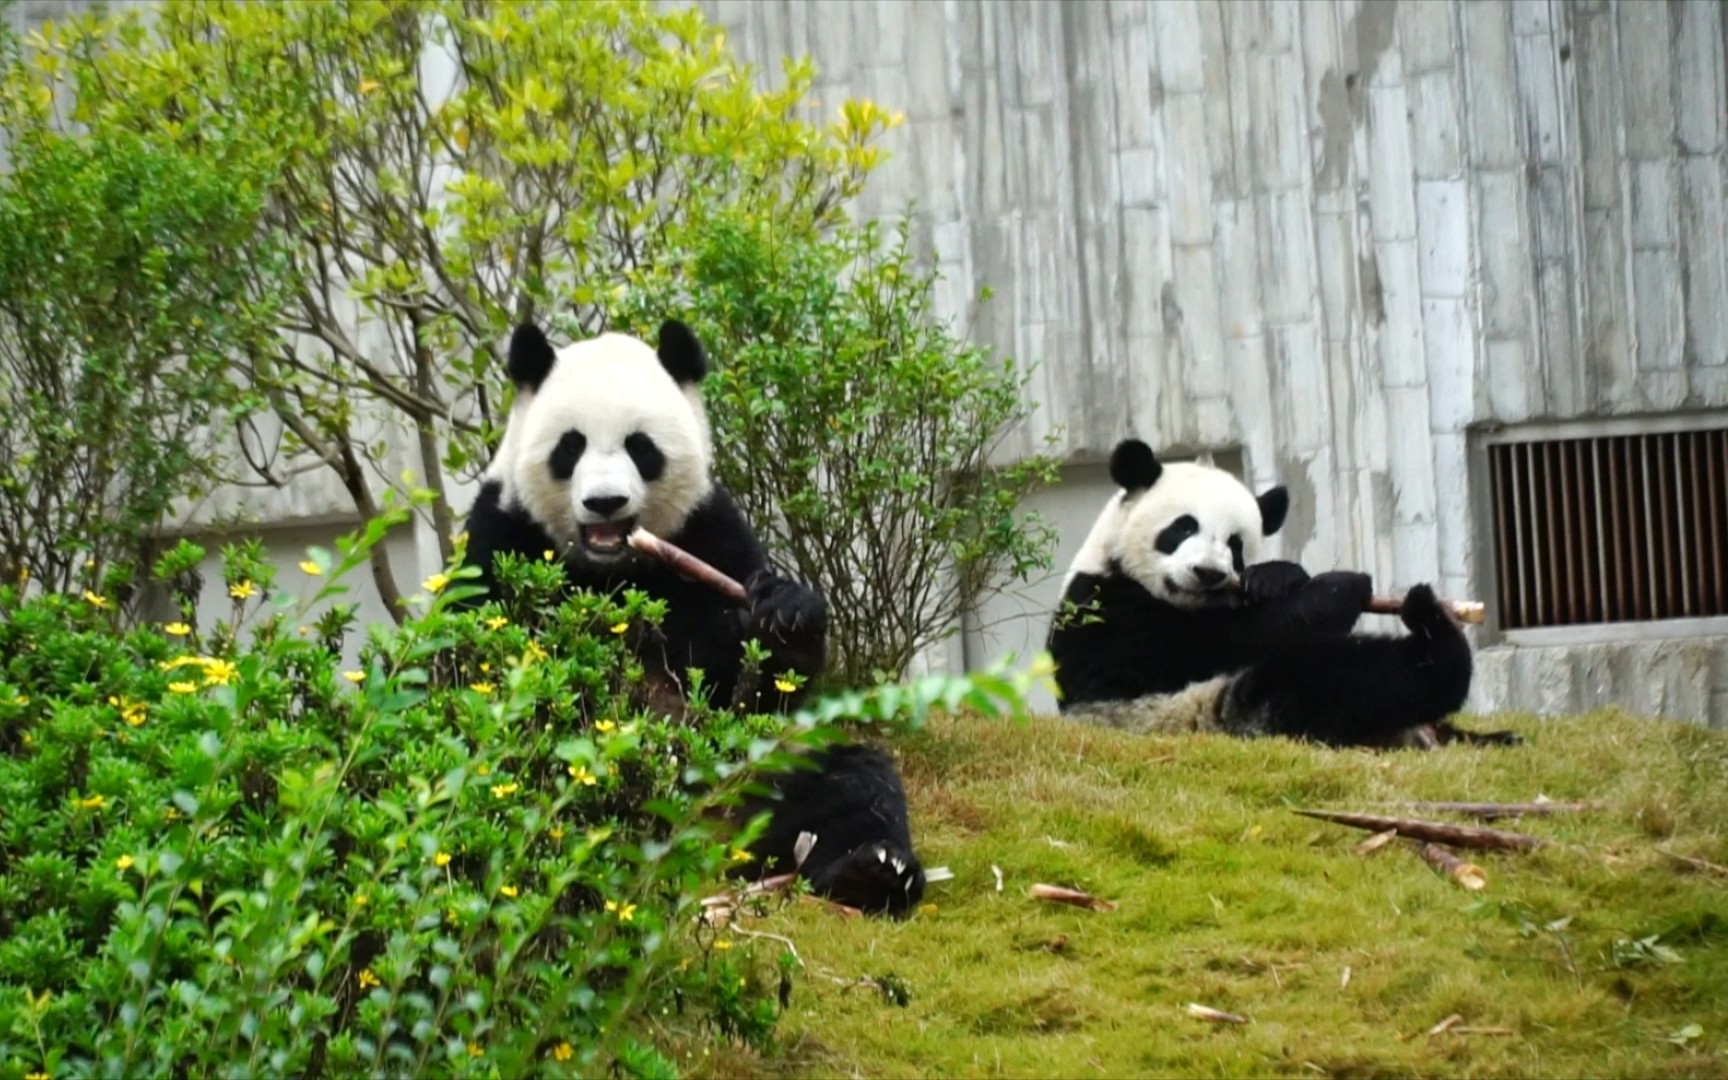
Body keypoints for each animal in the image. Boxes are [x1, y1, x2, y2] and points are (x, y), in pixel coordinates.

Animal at [452, 317, 926, 912]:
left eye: (640, 448)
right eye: (570, 446)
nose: (605, 503)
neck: (612, 569)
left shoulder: (708, 530)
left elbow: (750, 684)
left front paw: (786, 615)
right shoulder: (501, 535)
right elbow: (481, 665)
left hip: (765, 766)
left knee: (849, 785)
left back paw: (873, 870)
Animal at [1043, 438, 1520, 749]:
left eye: (1235, 544)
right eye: (1183, 527)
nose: (1208, 573)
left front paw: (1276, 576)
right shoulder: (1107, 612)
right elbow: (1219, 641)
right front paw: (1340, 586)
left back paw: (1492, 733)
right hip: (1211, 710)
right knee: (1332, 676)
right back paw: (1433, 630)